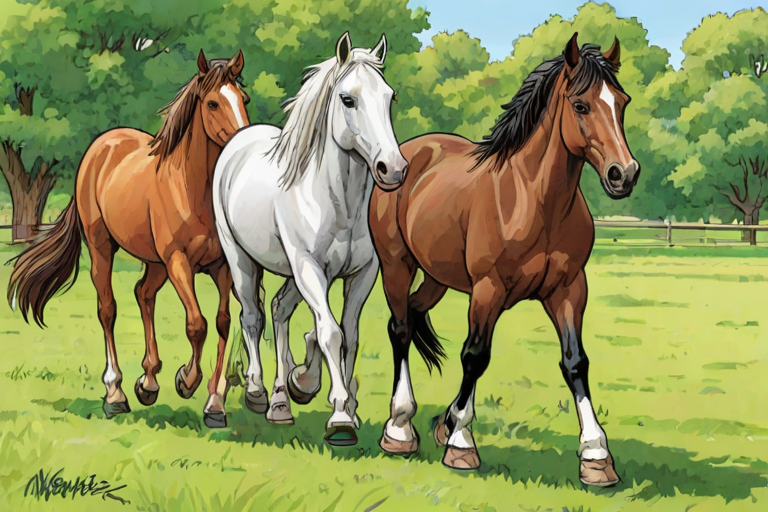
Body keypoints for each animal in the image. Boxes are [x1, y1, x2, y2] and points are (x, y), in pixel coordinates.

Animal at [7, 49, 251, 428]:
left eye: (243, 99)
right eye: (212, 103)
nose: (243, 144)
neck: (191, 189)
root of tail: (101, 146)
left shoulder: (222, 266)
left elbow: (223, 323)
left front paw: (214, 404)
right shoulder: (179, 262)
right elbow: (196, 324)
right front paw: (186, 381)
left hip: (154, 262)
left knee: (143, 294)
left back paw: (147, 383)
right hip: (103, 249)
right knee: (108, 309)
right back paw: (116, 394)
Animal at [212, 32, 406, 444]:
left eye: (390, 97)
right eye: (348, 99)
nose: (393, 169)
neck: (337, 201)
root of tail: (240, 140)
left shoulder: (362, 274)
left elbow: (349, 334)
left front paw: (340, 403)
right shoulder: (309, 268)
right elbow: (330, 333)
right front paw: (340, 418)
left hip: (296, 275)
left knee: (278, 310)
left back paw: (282, 400)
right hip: (242, 259)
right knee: (252, 316)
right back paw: (258, 392)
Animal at [367, 33, 639, 486]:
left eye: (622, 102)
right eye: (581, 105)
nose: (624, 174)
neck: (533, 200)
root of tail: (404, 156)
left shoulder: (569, 289)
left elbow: (575, 362)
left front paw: (596, 456)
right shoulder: (488, 289)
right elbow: (475, 355)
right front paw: (461, 442)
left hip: (438, 278)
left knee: (415, 313)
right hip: (396, 265)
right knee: (400, 329)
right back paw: (399, 428)